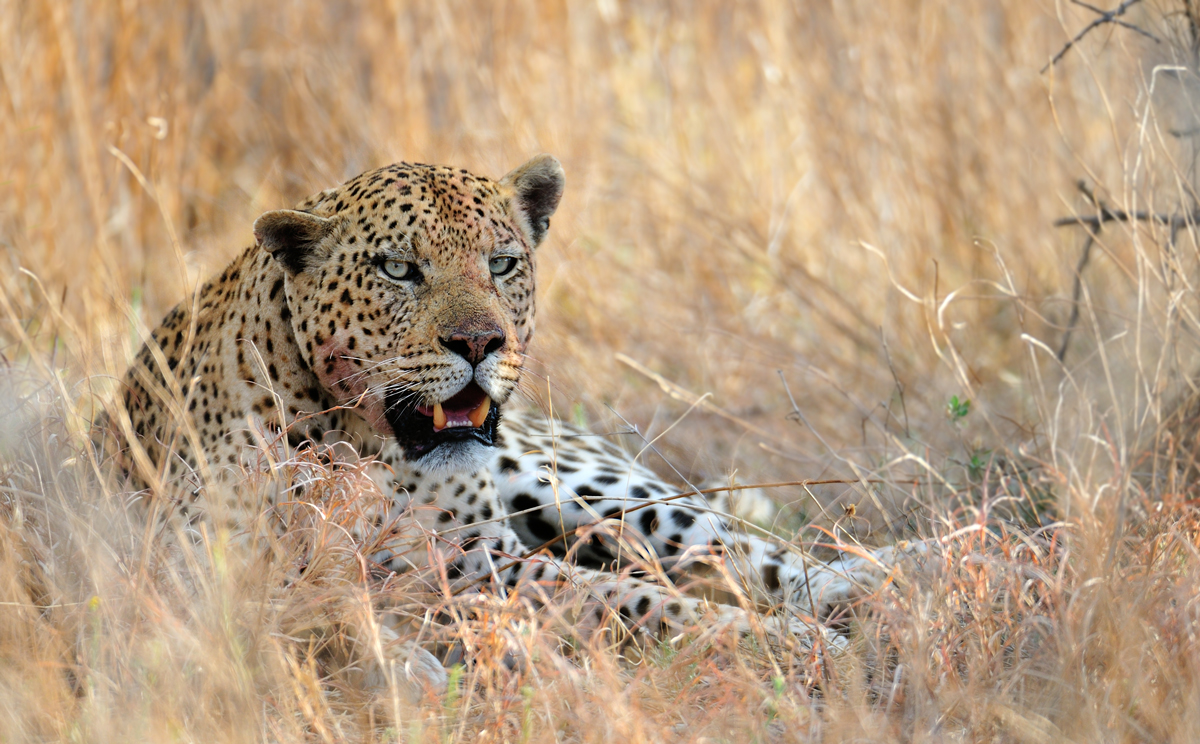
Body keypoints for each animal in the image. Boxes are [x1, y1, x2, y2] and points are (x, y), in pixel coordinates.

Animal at [100, 153, 907, 700]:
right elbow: (315, 611)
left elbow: (630, 599)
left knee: (755, 554)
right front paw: (409, 666)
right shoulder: (200, 569)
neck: (369, 445)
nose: (480, 342)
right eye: (398, 269)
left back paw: (896, 583)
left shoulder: (481, 564)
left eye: (503, 262)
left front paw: (794, 645)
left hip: (587, 487)